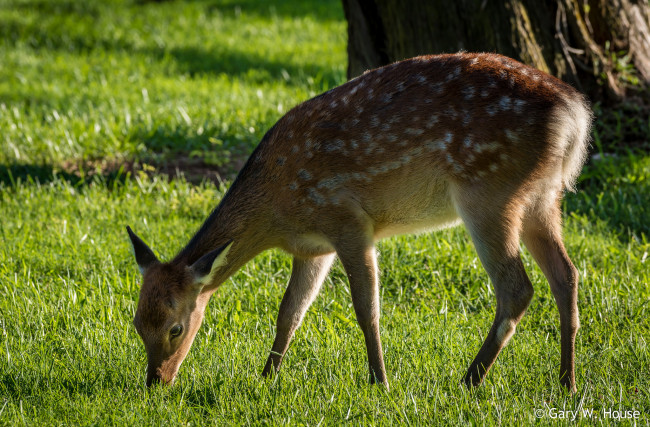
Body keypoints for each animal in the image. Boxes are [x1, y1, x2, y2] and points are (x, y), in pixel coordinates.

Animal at [125, 52, 588, 394]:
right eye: (135, 323)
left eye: (175, 327)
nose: (155, 382)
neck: (277, 211)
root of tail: (575, 115)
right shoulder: (313, 247)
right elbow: (289, 312)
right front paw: (266, 377)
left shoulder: (347, 220)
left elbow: (367, 310)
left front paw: (380, 382)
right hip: (543, 196)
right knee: (566, 274)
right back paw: (566, 382)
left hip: (488, 191)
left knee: (517, 287)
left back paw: (468, 381)